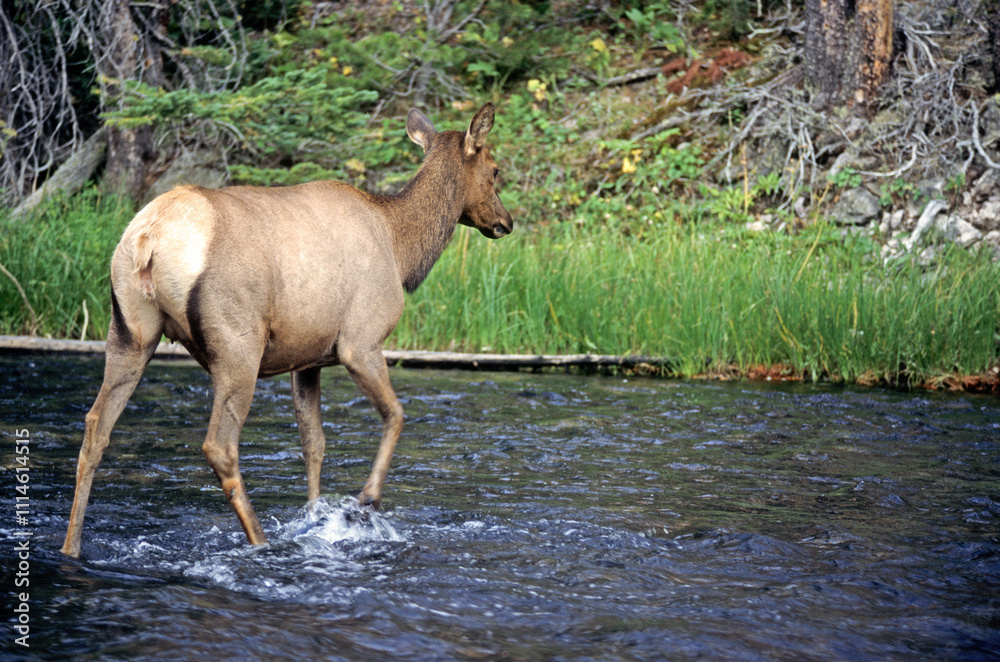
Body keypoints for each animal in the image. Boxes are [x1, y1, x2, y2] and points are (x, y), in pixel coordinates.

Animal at [61, 103, 512, 558]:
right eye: (494, 170)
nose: (505, 222)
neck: (402, 251)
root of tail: (148, 237)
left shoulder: (307, 358)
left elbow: (314, 444)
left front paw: (315, 517)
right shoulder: (360, 341)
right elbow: (397, 414)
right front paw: (365, 501)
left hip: (129, 331)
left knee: (95, 428)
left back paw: (71, 546)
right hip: (237, 342)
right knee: (219, 445)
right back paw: (260, 541)